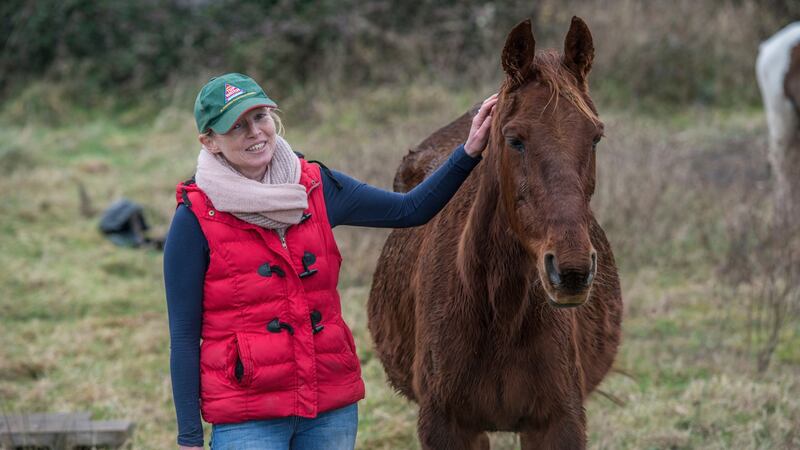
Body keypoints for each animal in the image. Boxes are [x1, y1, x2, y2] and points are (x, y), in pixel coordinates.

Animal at [368, 15, 624, 448]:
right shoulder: (448, 426)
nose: (571, 272)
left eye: (595, 136)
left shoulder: (557, 423)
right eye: (514, 139)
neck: (497, 310)